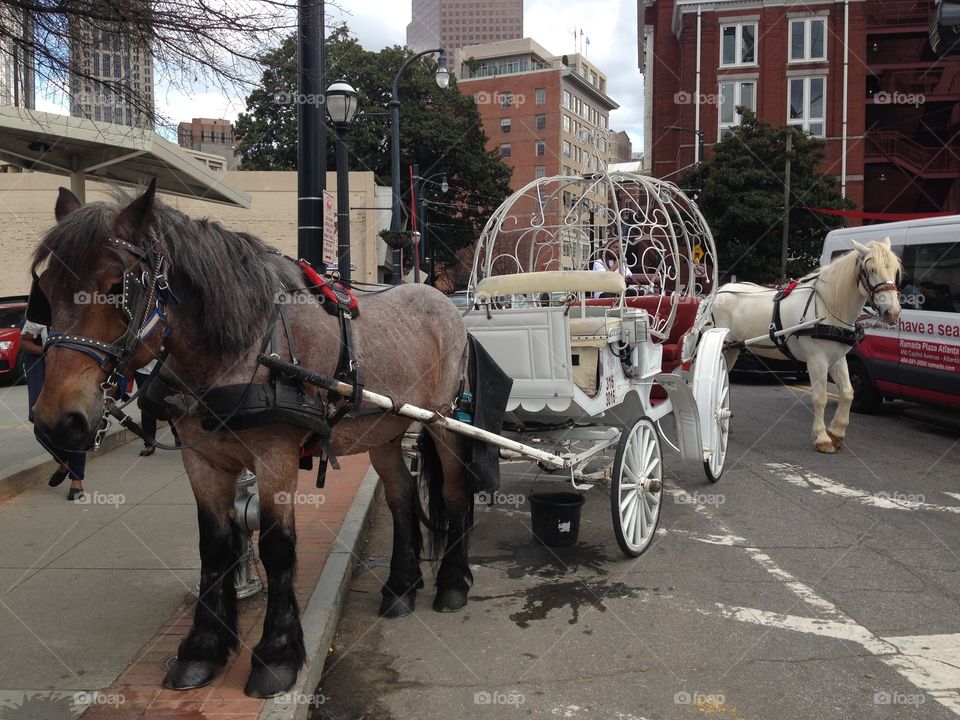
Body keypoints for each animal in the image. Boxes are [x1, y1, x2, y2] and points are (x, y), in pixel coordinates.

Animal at [31, 180, 474, 696]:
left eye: (116, 287)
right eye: (44, 291)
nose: (57, 421)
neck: (238, 349)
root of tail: (441, 298)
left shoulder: (274, 456)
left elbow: (277, 546)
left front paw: (276, 656)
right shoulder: (202, 461)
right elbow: (215, 545)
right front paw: (202, 650)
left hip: (443, 419)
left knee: (454, 490)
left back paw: (452, 583)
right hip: (383, 429)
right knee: (401, 494)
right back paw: (400, 587)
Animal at [712, 242, 900, 456]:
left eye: (895, 271)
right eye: (871, 270)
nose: (892, 312)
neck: (828, 310)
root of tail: (722, 289)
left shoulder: (837, 359)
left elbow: (848, 392)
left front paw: (836, 433)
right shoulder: (817, 360)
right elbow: (820, 398)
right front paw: (822, 438)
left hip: (733, 350)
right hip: (725, 347)